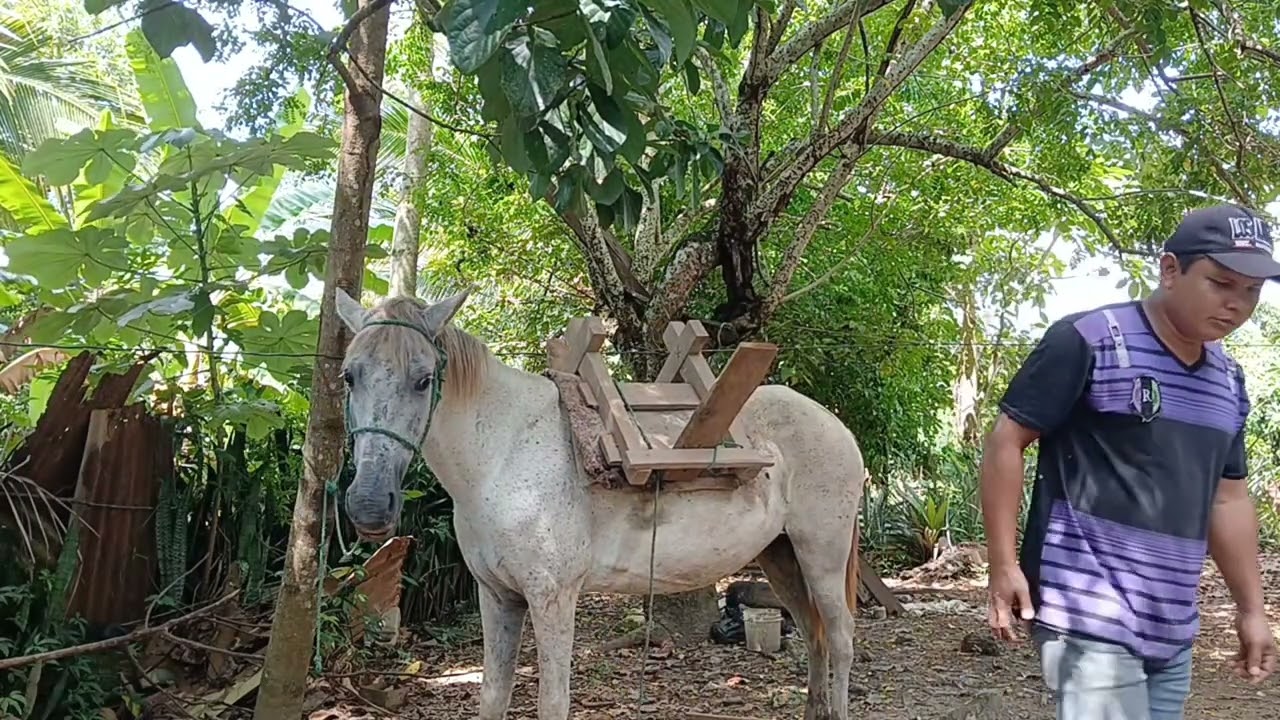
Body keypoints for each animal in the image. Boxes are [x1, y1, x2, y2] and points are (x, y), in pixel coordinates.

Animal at [334, 287, 867, 720]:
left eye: (423, 379)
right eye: (348, 377)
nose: (368, 505)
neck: (502, 454)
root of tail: (835, 424)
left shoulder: (552, 598)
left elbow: (552, 702)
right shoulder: (498, 595)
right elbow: (492, 696)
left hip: (821, 554)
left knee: (840, 639)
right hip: (780, 556)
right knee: (815, 636)